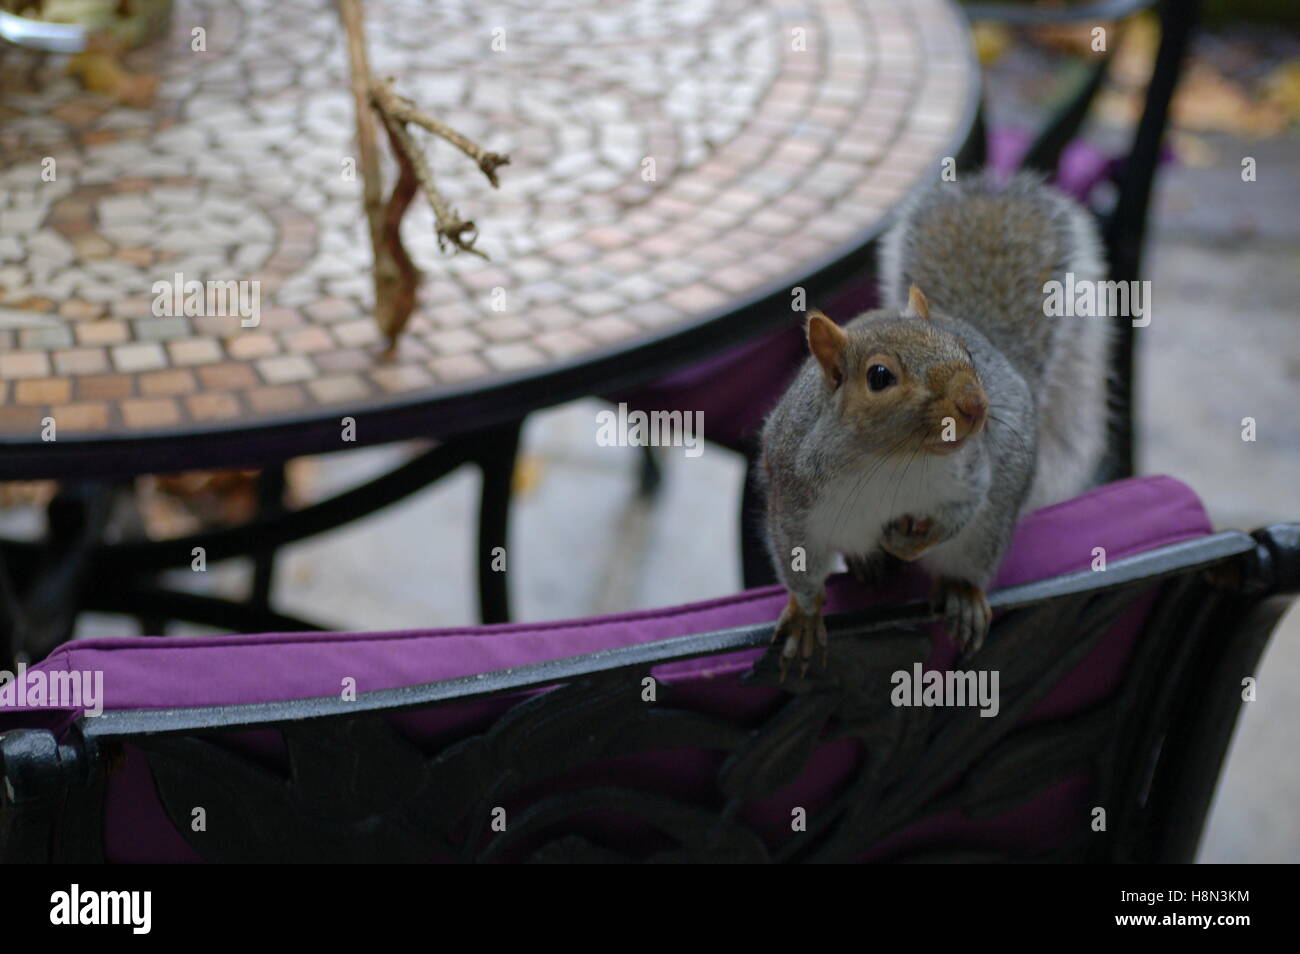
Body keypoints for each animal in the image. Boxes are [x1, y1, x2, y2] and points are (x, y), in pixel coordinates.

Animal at [760, 172, 1111, 678]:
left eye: (964, 350)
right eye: (879, 376)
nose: (975, 405)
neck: (888, 461)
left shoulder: (970, 474)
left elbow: (963, 509)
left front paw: (909, 545)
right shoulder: (794, 500)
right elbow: (798, 565)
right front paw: (806, 615)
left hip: (992, 527)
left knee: (973, 551)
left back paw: (961, 593)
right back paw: (869, 562)